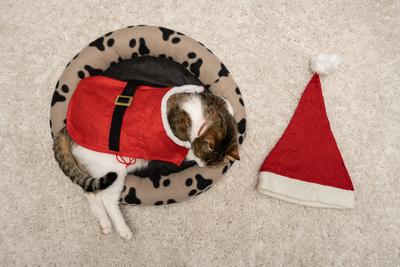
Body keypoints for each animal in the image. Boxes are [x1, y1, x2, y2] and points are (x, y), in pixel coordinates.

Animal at [54, 85, 239, 240]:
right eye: (202, 158)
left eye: (209, 165)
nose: (201, 166)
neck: (205, 118)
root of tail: (68, 130)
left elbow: (228, 104)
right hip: (113, 171)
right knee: (106, 199)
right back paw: (123, 230)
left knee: (91, 192)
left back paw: (105, 225)